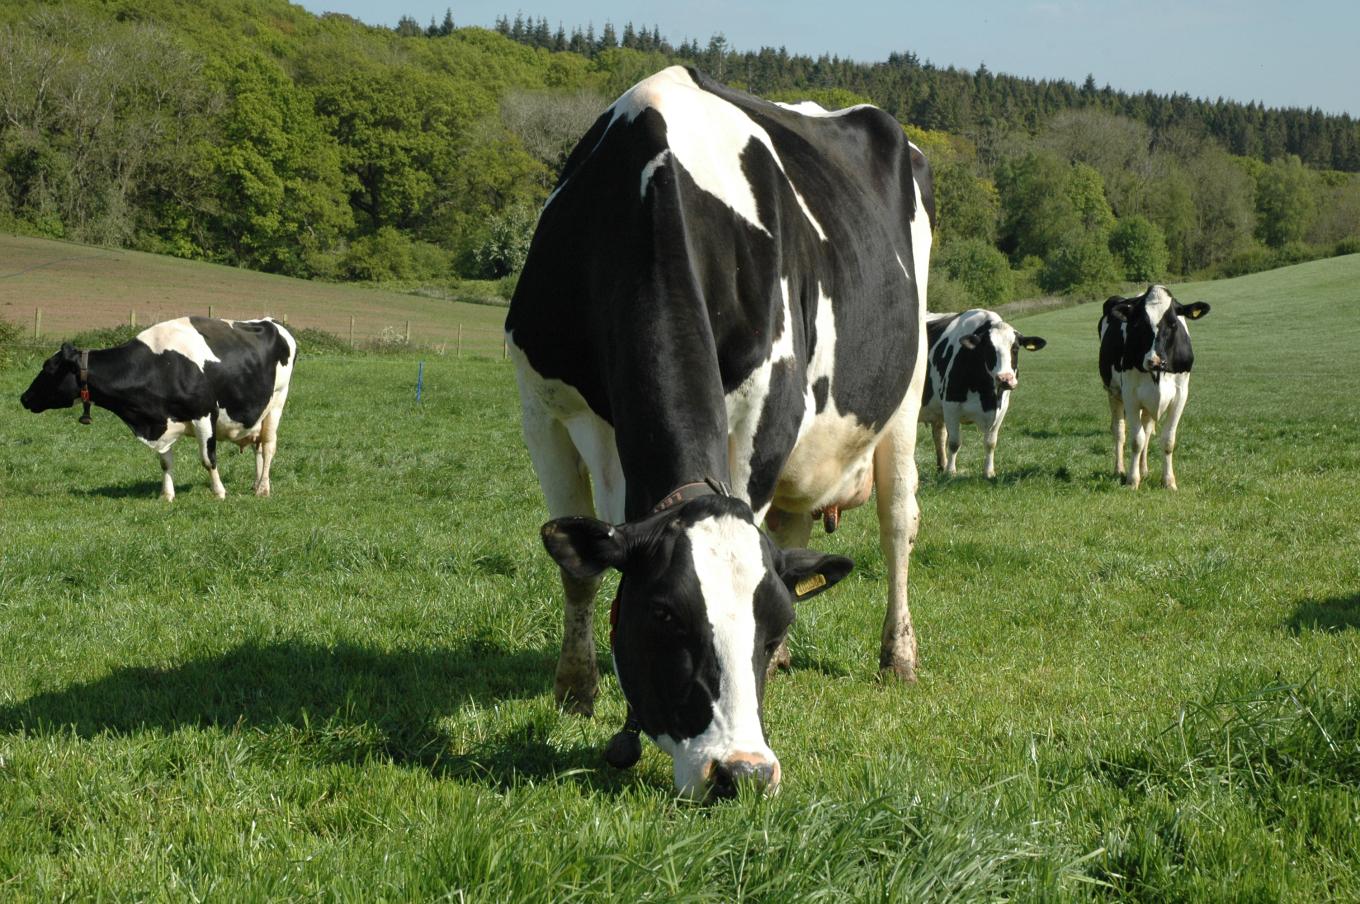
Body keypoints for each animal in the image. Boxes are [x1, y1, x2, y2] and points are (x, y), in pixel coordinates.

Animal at [19, 317, 296, 500]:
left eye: (48, 368)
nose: (24, 398)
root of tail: (271, 321)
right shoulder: (161, 422)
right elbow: (165, 462)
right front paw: (167, 495)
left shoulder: (205, 414)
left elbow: (208, 458)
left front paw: (219, 492)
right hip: (258, 412)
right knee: (258, 447)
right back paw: (257, 484)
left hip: (277, 402)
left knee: (268, 446)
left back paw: (263, 489)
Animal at [505, 66, 933, 800]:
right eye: (664, 616)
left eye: (771, 623)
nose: (743, 772)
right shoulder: (544, 407)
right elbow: (577, 572)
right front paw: (575, 690)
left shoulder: (764, 417)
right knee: (792, 529)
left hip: (906, 391)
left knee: (897, 523)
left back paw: (897, 656)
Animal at [919, 309, 1046, 479]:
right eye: (989, 349)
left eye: (1015, 349)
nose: (1005, 378)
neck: (987, 398)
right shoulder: (951, 406)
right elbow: (954, 443)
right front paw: (951, 472)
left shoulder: (1002, 408)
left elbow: (990, 443)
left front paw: (989, 472)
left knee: (939, 434)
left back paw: (942, 466)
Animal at [1098, 285, 1209, 489]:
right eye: (1139, 324)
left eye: (1173, 323)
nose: (1155, 360)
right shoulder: (1130, 395)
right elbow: (1136, 440)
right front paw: (1132, 481)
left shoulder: (1181, 395)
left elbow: (1167, 440)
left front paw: (1169, 481)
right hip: (1113, 392)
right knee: (1119, 431)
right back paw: (1119, 469)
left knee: (1148, 430)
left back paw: (1144, 470)